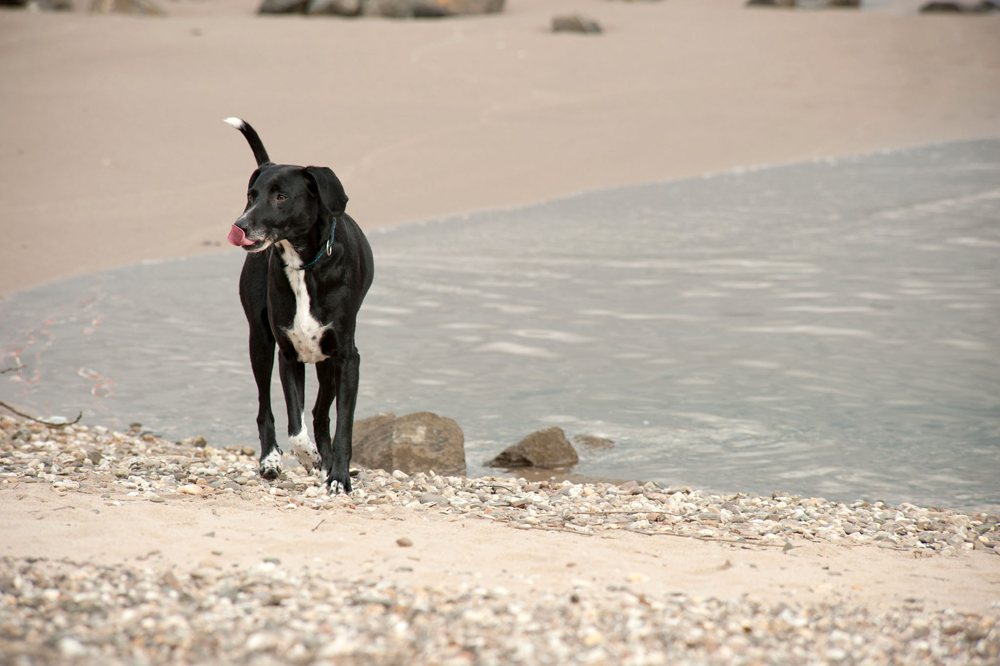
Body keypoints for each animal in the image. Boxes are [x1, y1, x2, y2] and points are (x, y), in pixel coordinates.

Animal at [225, 118, 374, 492]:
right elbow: (295, 426)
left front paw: (338, 476)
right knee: (266, 409)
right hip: (260, 343)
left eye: (281, 197)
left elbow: (343, 426)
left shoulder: (347, 358)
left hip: (327, 363)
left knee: (321, 414)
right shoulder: (288, 355)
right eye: (251, 196)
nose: (240, 226)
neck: (304, 265)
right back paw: (271, 461)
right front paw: (308, 457)